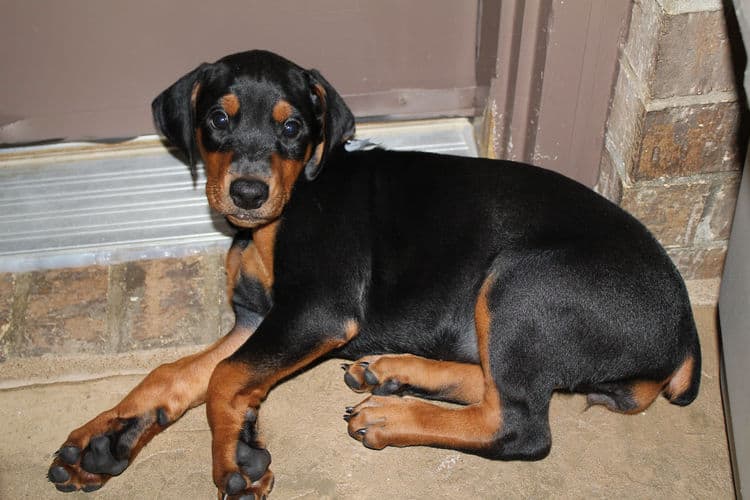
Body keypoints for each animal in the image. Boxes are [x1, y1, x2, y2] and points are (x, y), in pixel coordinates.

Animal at [48, 50, 704, 496]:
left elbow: (226, 378)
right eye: (217, 117)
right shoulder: (259, 318)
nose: (248, 193)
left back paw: (393, 414)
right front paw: (101, 440)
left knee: (520, 424)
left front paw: (235, 458)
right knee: (496, 384)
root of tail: (684, 335)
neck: (286, 210)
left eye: (292, 126)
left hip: (523, 281)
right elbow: (179, 373)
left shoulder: (315, 309)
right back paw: (393, 374)